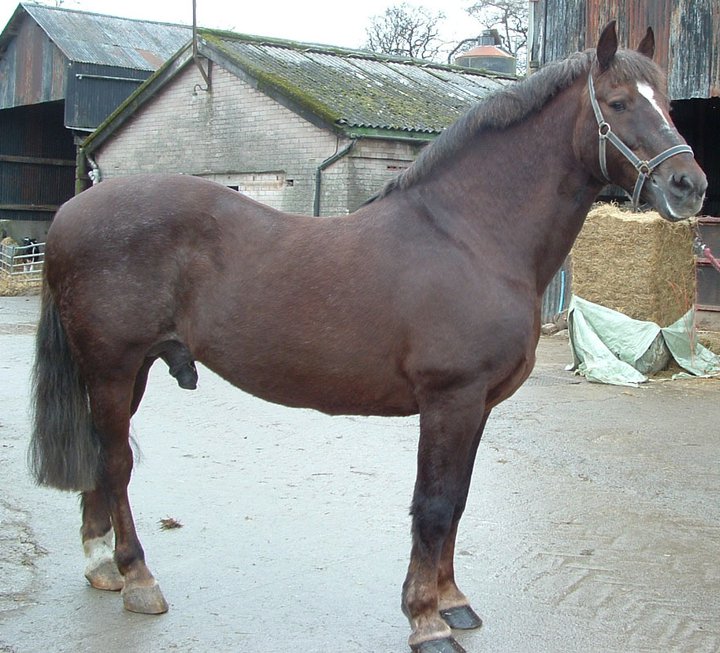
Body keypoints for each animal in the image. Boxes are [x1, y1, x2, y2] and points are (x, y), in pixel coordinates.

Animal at [29, 20, 708, 652]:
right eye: (618, 102)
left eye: (669, 105)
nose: (689, 185)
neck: (471, 237)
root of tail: (69, 214)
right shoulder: (450, 399)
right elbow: (433, 506)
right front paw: (427, 620)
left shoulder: (477, 405)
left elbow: (457, 500)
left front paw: (454, 602)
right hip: (113, 367)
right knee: (116, 463)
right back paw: (139, 580)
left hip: (132, 371)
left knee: (103, 458)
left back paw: (102, 569)